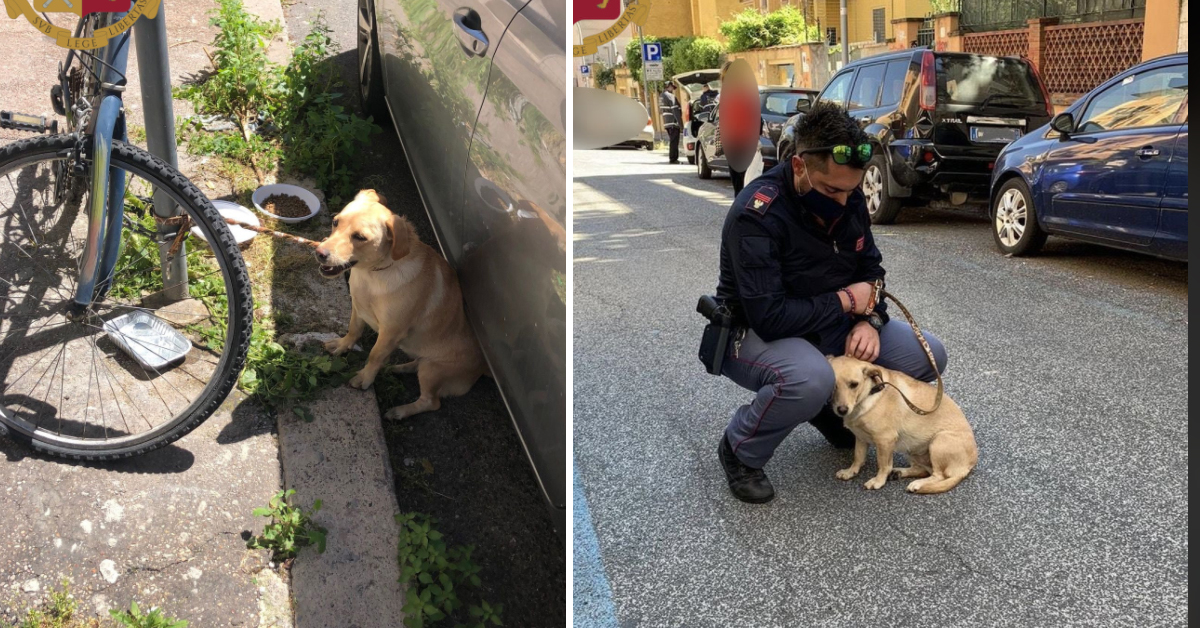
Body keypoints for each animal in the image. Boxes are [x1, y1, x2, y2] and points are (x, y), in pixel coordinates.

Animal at [321, 189, 489, 420]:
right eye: (335, 221)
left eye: (360, 237)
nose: (319, 253)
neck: (373, 274)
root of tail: (483, 366)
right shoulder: (357, 308)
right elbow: (353, 330)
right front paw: (342, 346)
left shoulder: (390, 332)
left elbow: (374, 355)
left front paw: (365, 378)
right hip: (426, 363)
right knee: (417, 365)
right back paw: (397, 368)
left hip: (432, 370)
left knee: (431, 401)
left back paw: (400, 411)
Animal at [830, 355, 979, 494]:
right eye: (833, 386)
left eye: (854, 384)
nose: (842, 410)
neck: (868, 394)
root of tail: (967, 467)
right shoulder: (861, 438)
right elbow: (858, 458)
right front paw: (850, 472)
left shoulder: (885, 440)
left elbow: (883, 465)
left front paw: (878, 481)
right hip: (912, 448)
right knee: (923, 470)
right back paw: (899, 472)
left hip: (938, 441)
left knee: (938, 475)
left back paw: (917, 484)